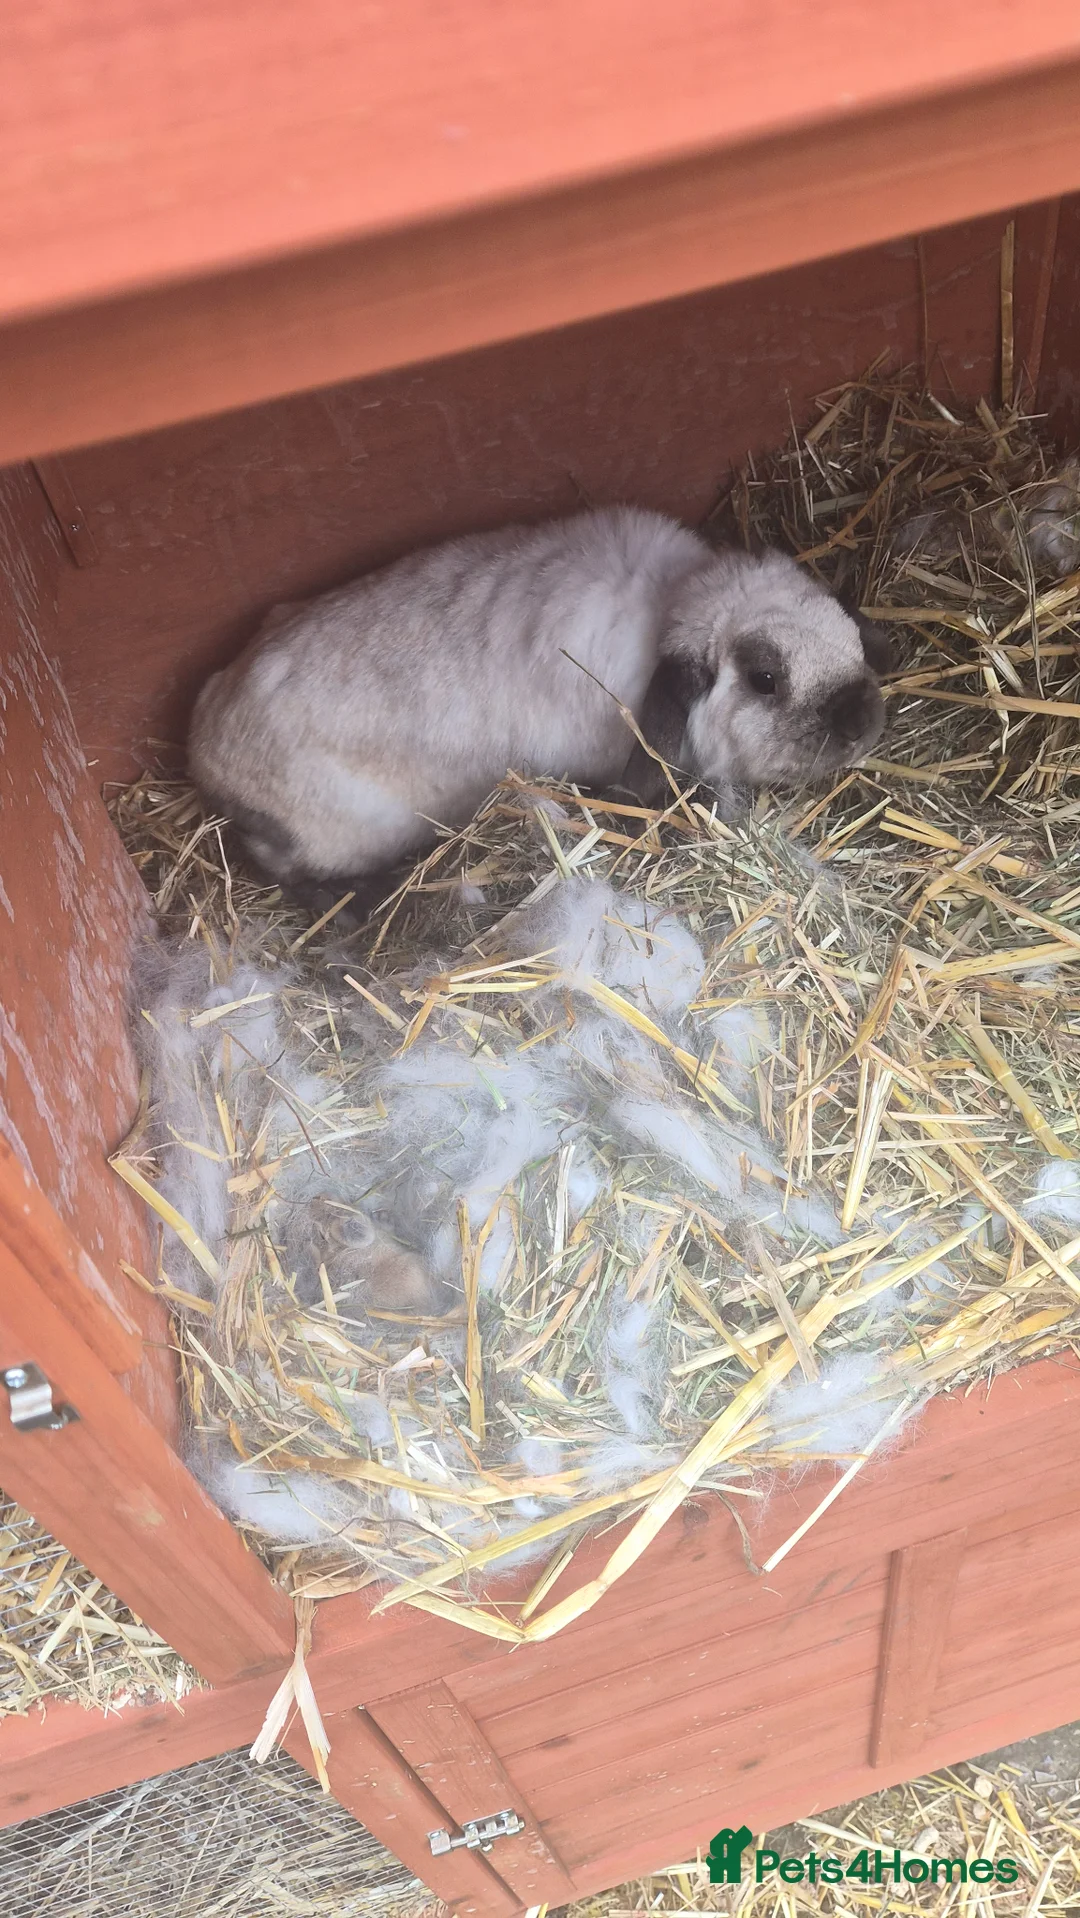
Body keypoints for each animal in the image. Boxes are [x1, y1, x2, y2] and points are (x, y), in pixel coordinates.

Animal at [188, 506, 888, 914]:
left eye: (841, 624)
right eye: (765, 679)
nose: (862, 723)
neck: (670, 602)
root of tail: (204, 746)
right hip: (336, 835)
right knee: (288, 871)